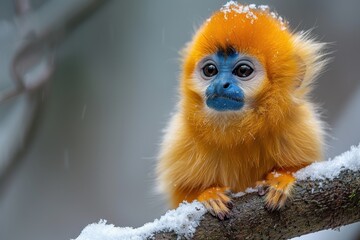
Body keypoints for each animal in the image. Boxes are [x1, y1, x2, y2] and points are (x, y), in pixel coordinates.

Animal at [156, 1, 328, 219]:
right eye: (210, 70)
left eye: (243, 71)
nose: (221, 84)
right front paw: (209, 194)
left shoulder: (299, 127)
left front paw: (281, 179)